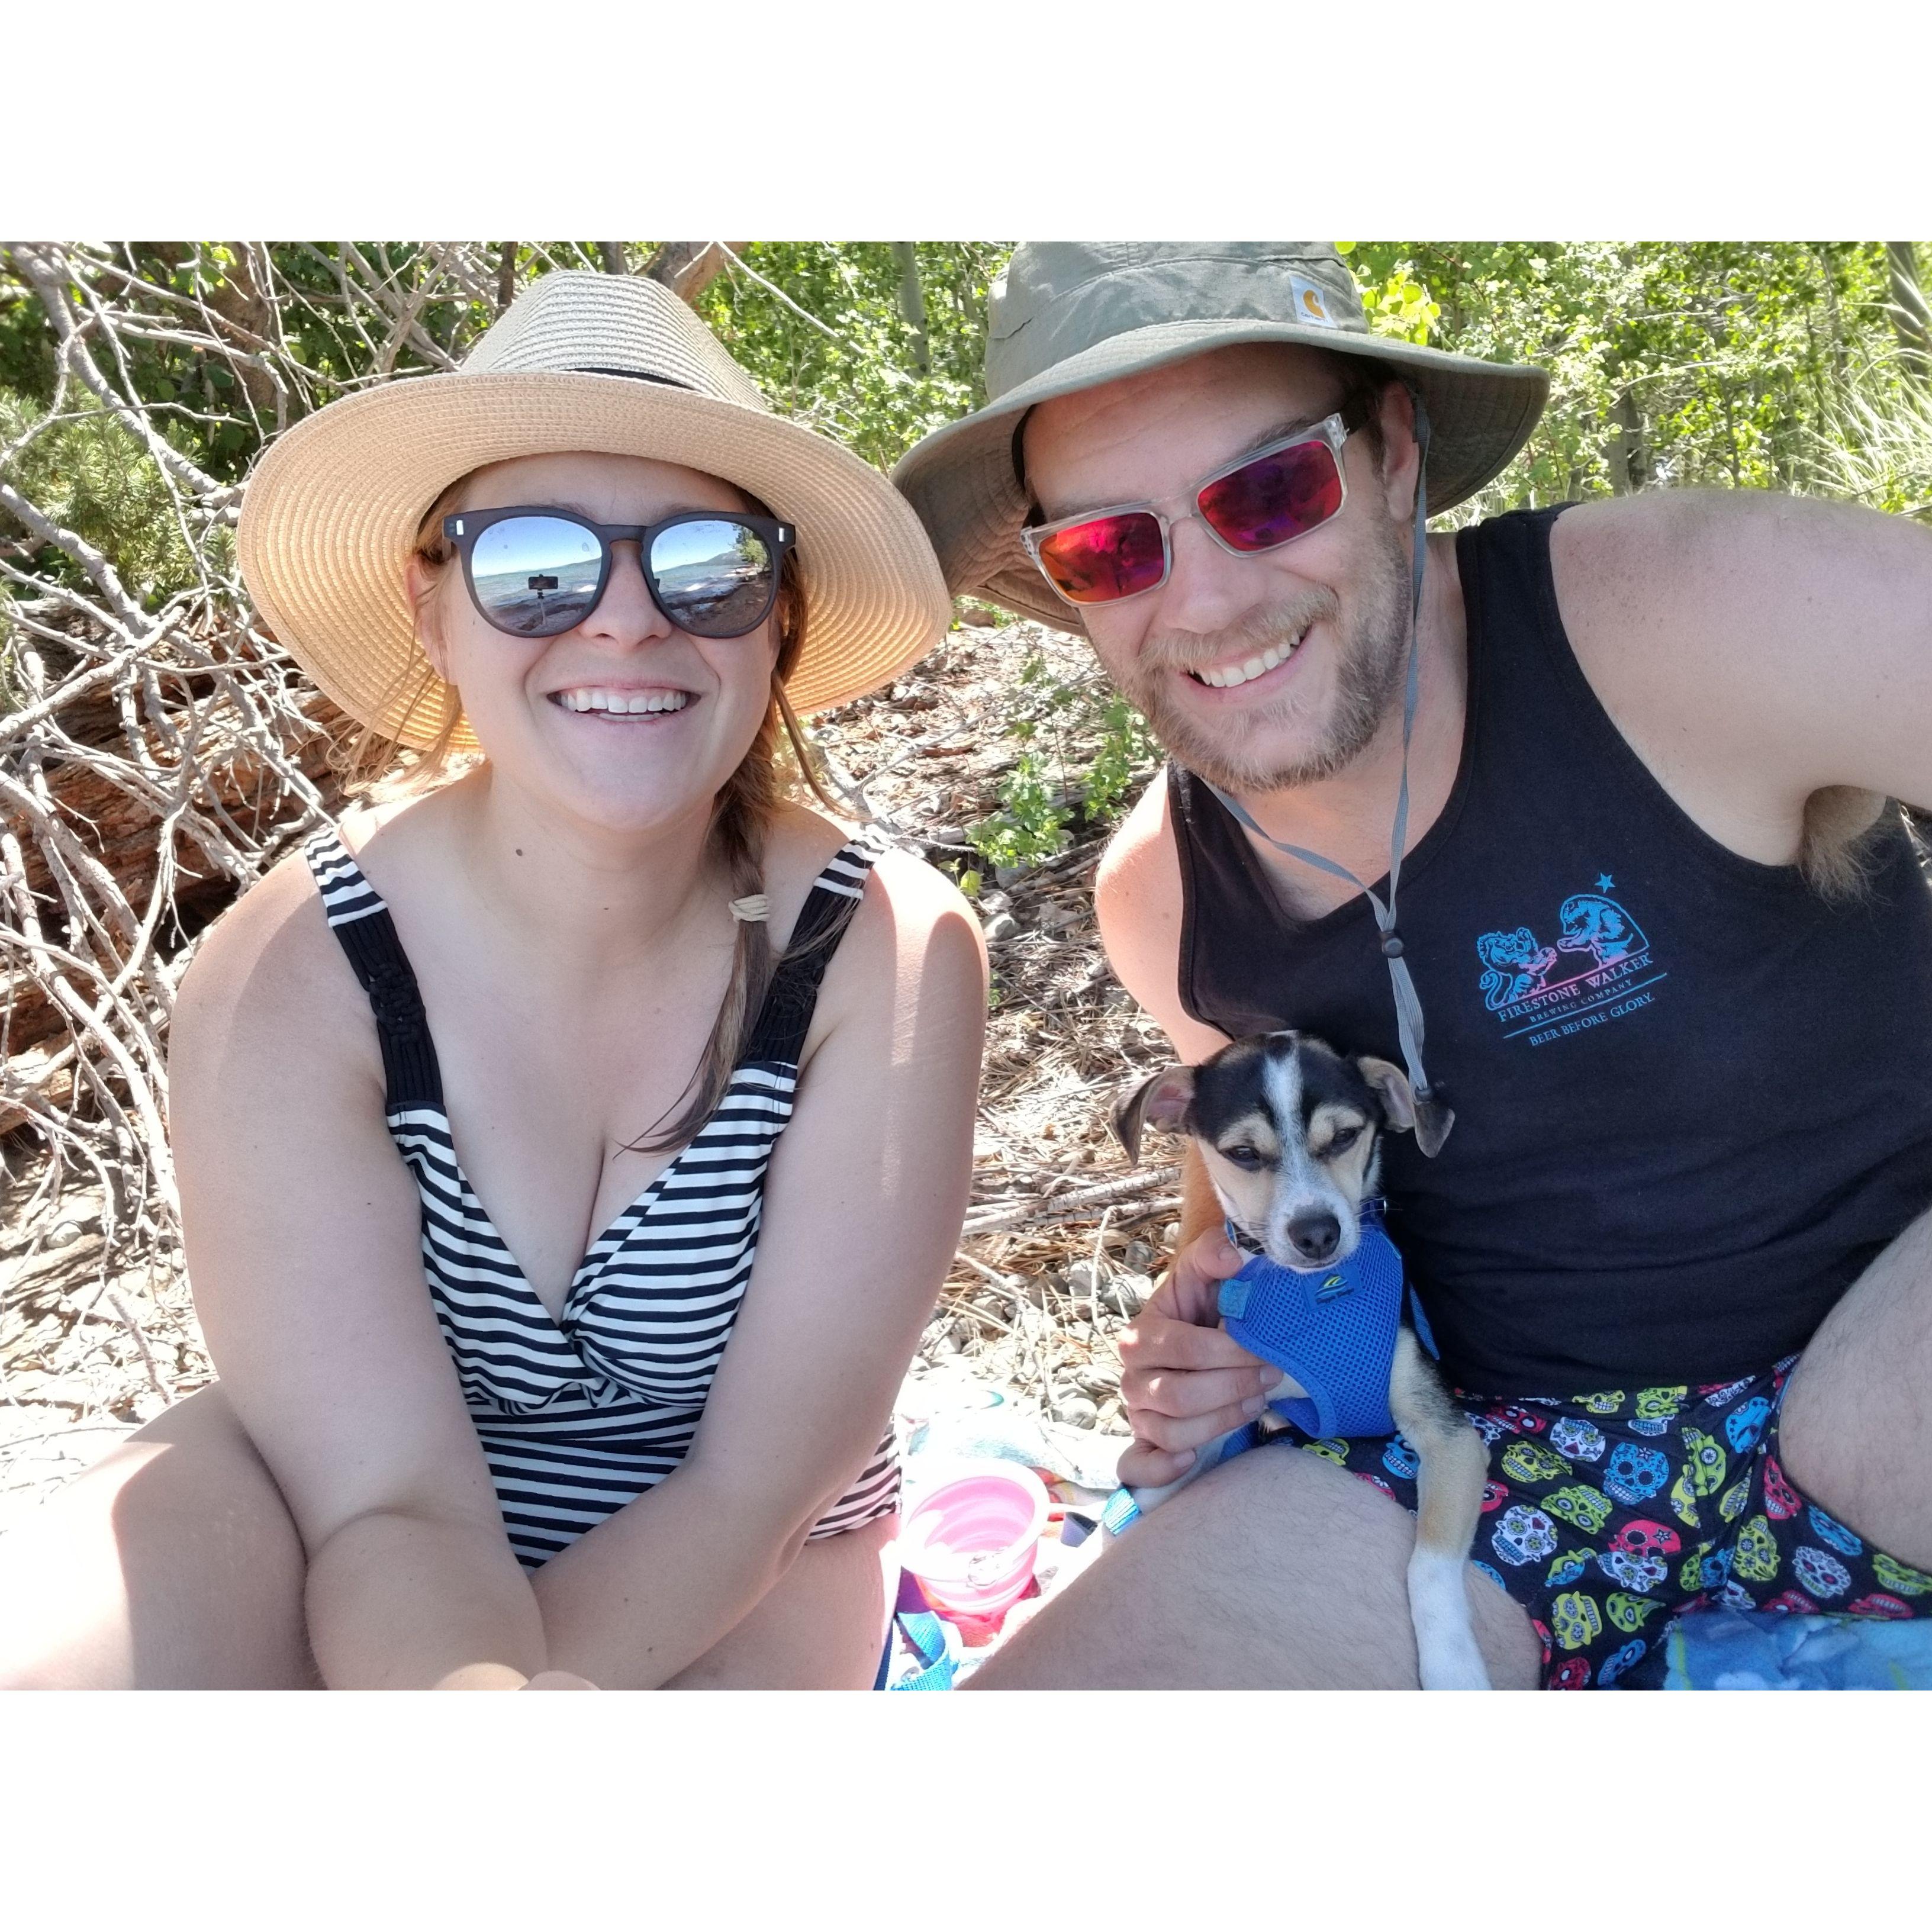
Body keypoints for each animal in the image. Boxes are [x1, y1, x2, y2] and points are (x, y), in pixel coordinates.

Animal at [1120, 1035, 1491, 1685]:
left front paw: (1454, 1670)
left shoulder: (1453, 1440)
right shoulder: (1227, 1400)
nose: (1316, 1233)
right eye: (1243, 1153)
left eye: (1345, 1137)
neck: (1314, 1301)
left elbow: (1430, 1564)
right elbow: (1163, 1489)